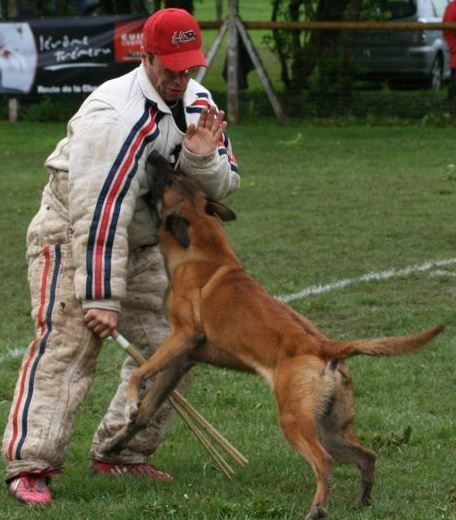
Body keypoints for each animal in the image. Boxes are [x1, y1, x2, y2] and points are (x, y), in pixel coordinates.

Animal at [105, 151, 444, 520]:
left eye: (166, 180)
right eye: (177, 174)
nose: (155, 155)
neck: (201, 248)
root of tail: (325, 346)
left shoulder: (182, 337)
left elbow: (139, 372)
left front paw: (130, 402)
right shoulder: (181, 361)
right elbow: (146, 412)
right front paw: (116, 441)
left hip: (295, 421)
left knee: (323, 463)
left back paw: (317, 509)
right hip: (330, 428)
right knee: (366, 456)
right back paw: (362, 502)